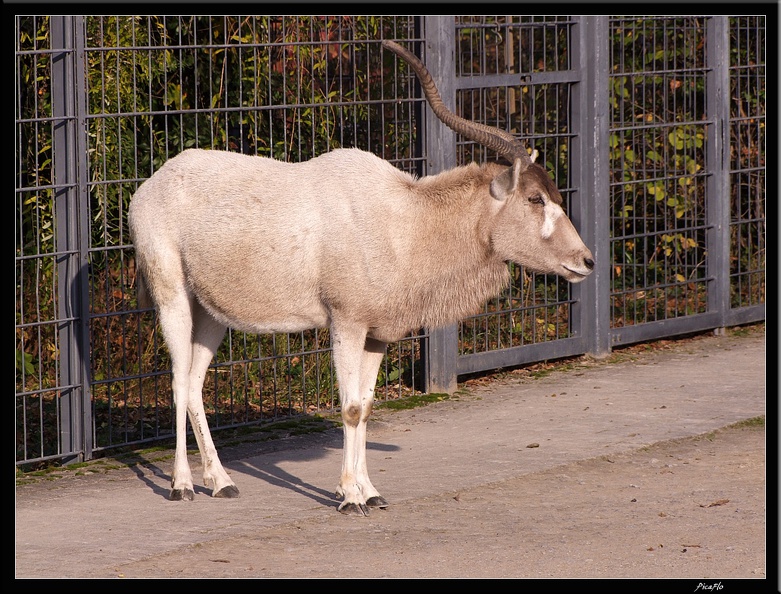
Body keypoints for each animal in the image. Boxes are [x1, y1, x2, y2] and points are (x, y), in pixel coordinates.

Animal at [129, 40, 592, 512]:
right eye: (535, 199)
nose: (586, 261)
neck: (404, 220)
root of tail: (150, 186)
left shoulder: (377, 334)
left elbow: (366, 407)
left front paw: (370, 491)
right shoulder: (346, 323)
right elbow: (349, 407)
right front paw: (350, 496)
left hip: (212, 314)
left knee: (194, 384)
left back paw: (221, 480)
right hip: (173, 297)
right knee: (178, 381)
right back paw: (182, 484)